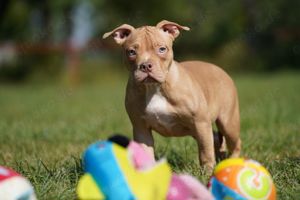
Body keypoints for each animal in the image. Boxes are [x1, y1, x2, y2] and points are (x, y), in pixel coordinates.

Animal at [103, 20, 241, 168]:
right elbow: (146, 154)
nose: (145, 66)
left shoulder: (200, 122)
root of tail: (220, 69)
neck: (155, 87)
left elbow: (205, 152)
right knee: (215, 138)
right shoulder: (141, 129)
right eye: (131, 52)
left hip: (227, 122)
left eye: (162, 49)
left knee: (233, 142)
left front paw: (207, 172)